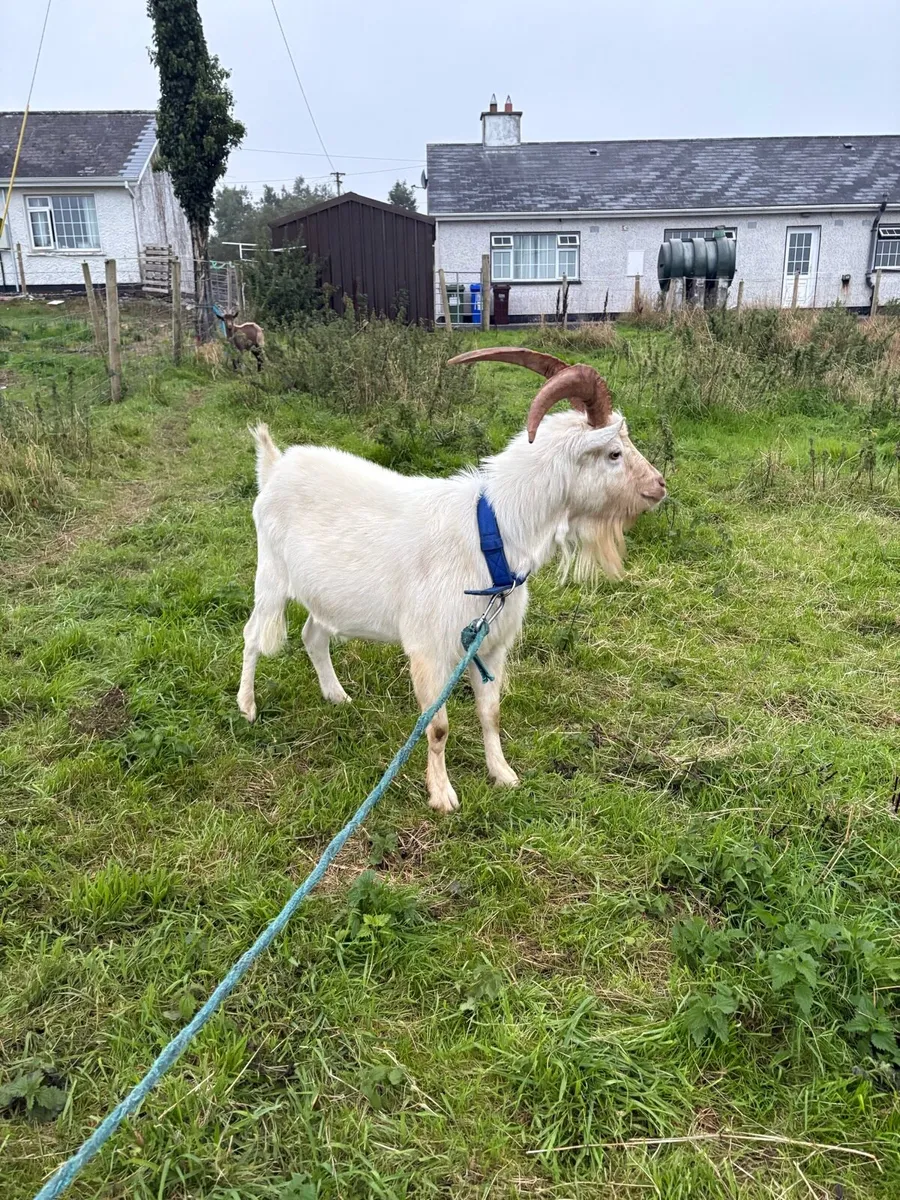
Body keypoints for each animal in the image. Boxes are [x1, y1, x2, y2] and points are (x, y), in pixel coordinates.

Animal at [237, 347, 667, 813]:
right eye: (614, 453)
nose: (660, 485)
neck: (491, 531)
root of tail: (275, 466)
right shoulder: (429, 650)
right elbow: (437, 726)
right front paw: (442, 794)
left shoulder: (489, 645)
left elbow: (490, 713)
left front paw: (503, 774)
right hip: (271, 576)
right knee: (252, 635)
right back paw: (247, 706)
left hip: (327, 595)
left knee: (313, 635)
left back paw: (337, 696)